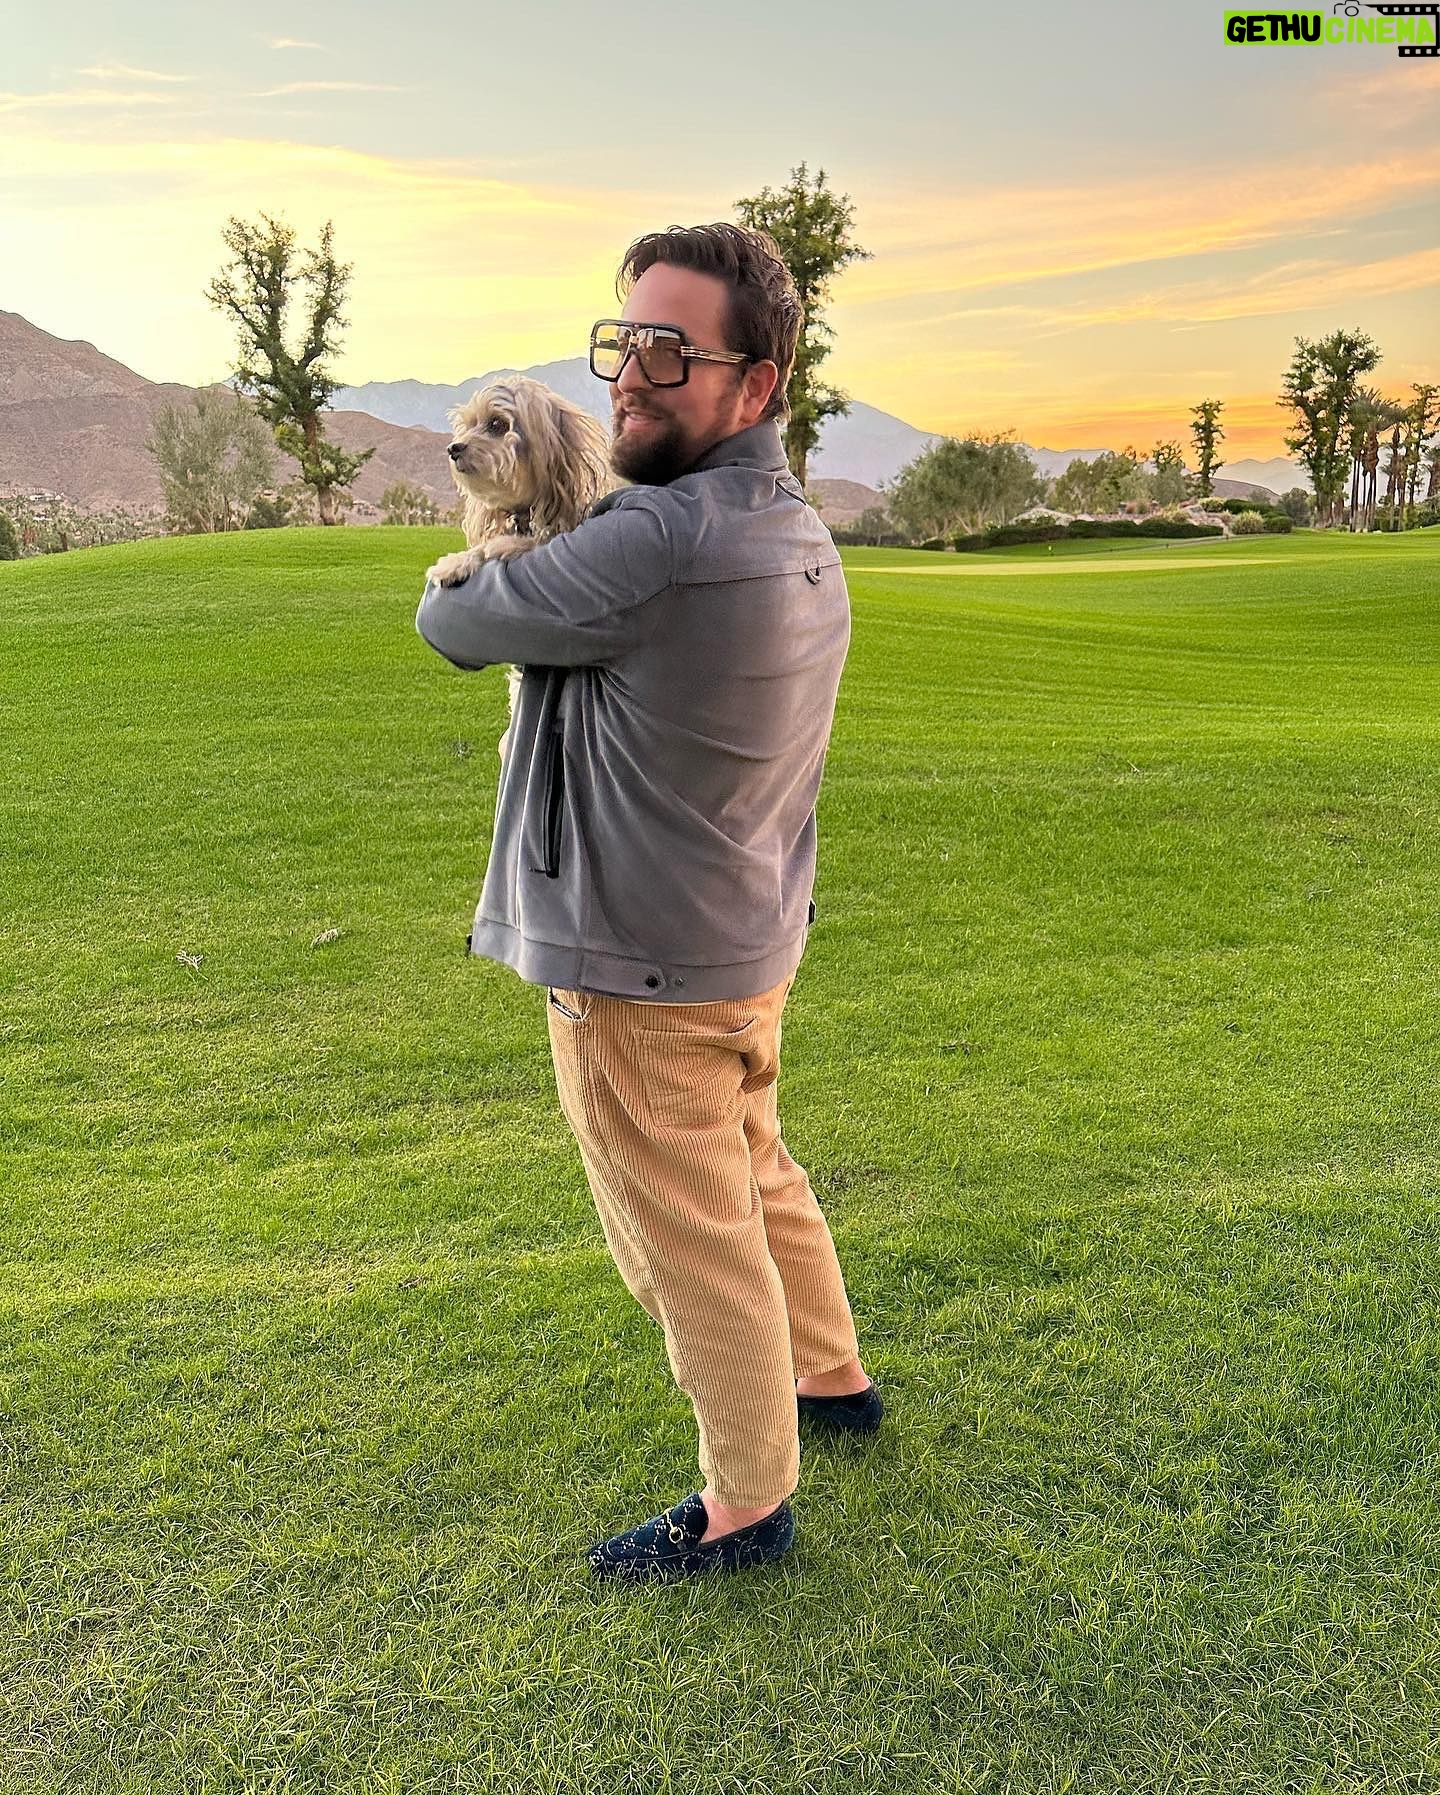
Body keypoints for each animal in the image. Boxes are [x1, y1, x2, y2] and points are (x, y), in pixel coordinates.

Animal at [425, 375, 618, 758]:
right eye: (468, 424)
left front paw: (493, 549)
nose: (454, 448)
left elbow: (511, 545)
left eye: (498, 425)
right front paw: (453, 563)